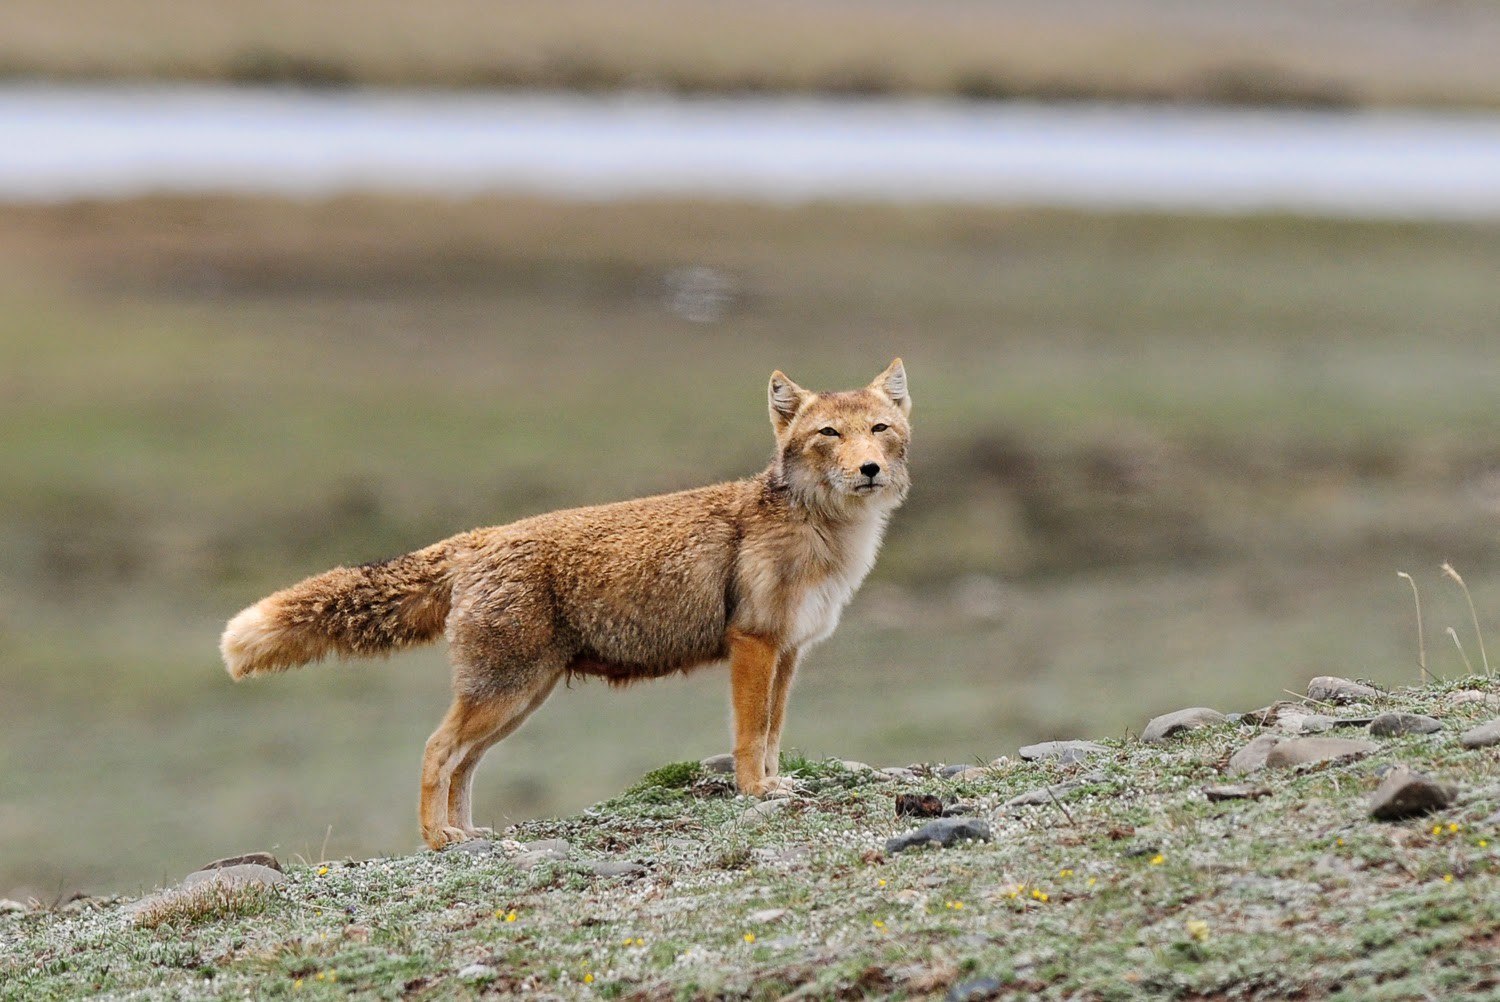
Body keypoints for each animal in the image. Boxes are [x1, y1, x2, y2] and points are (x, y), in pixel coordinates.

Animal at [217, 358, 906, 846]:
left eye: (880, 430)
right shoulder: (753, 645)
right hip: (504, 693)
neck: (822, 532)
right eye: (828, 434)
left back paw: (466, 832)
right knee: (436, 751)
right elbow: (748, 734)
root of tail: (479, 537)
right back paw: (437, 839)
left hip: (519, 701)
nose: (869, 469)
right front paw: (755, 792)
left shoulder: (788, 652)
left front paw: (775, 782)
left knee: (462, 765)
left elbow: (773, 732)